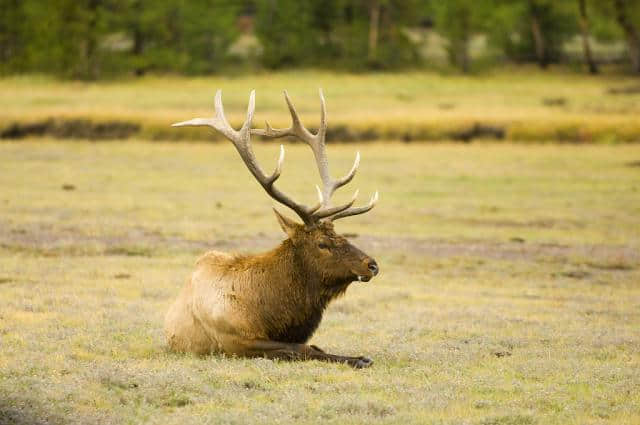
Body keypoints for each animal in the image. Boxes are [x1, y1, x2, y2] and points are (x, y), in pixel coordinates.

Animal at [165, 90, 382, 368]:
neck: (271, 311)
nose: (372, 265)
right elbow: (302, 349)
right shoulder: (234, 341)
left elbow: (312, 345)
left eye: (341, 235)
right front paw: (359, 359)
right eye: (322, 243)